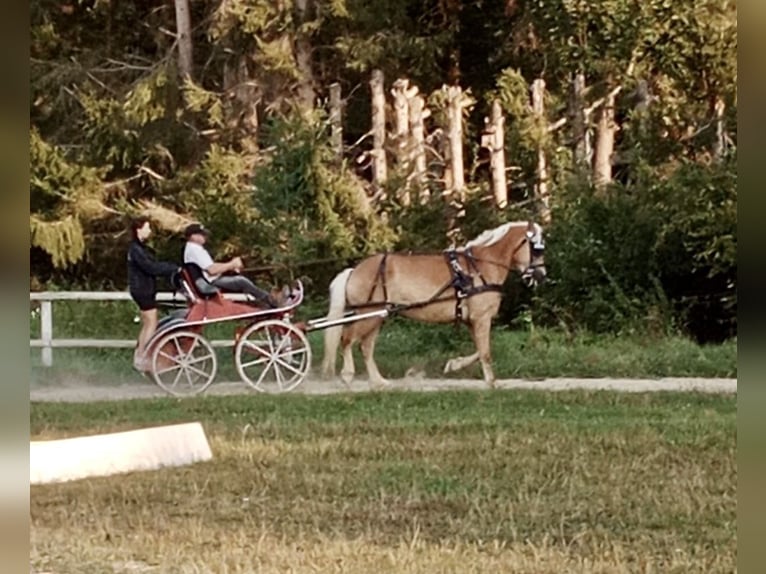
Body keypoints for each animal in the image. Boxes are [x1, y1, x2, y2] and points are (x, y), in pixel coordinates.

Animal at [320, 223, 548, 390]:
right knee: (347, 339)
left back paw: (378, 382)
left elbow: (479, 350)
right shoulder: (481, 318)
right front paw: (491, 383)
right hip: (368, 314)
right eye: (536, 249)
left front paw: (453, 364)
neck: (481, 266)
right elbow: (485, 352)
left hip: (377, 316)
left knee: (366, 346)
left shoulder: (472, 320)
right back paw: (347, 375)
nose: (541, 275)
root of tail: (354, 270)